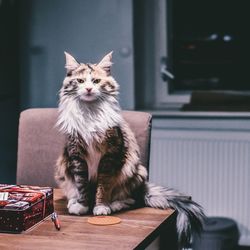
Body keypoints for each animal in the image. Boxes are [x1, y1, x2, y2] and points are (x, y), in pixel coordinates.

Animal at [54, 51, 205, 248]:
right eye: (80, 81)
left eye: (95, 81)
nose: (88, 89)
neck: (90, 112)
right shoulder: (77, 156)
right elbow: (81, 185)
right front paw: (82, 205)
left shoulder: (109, 156)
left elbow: (103, 187)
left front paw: (100, 207)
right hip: (63, 169)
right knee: (73, 189)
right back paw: (73, 202)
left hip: (134, 169)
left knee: (129, 198)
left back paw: (114, 205)